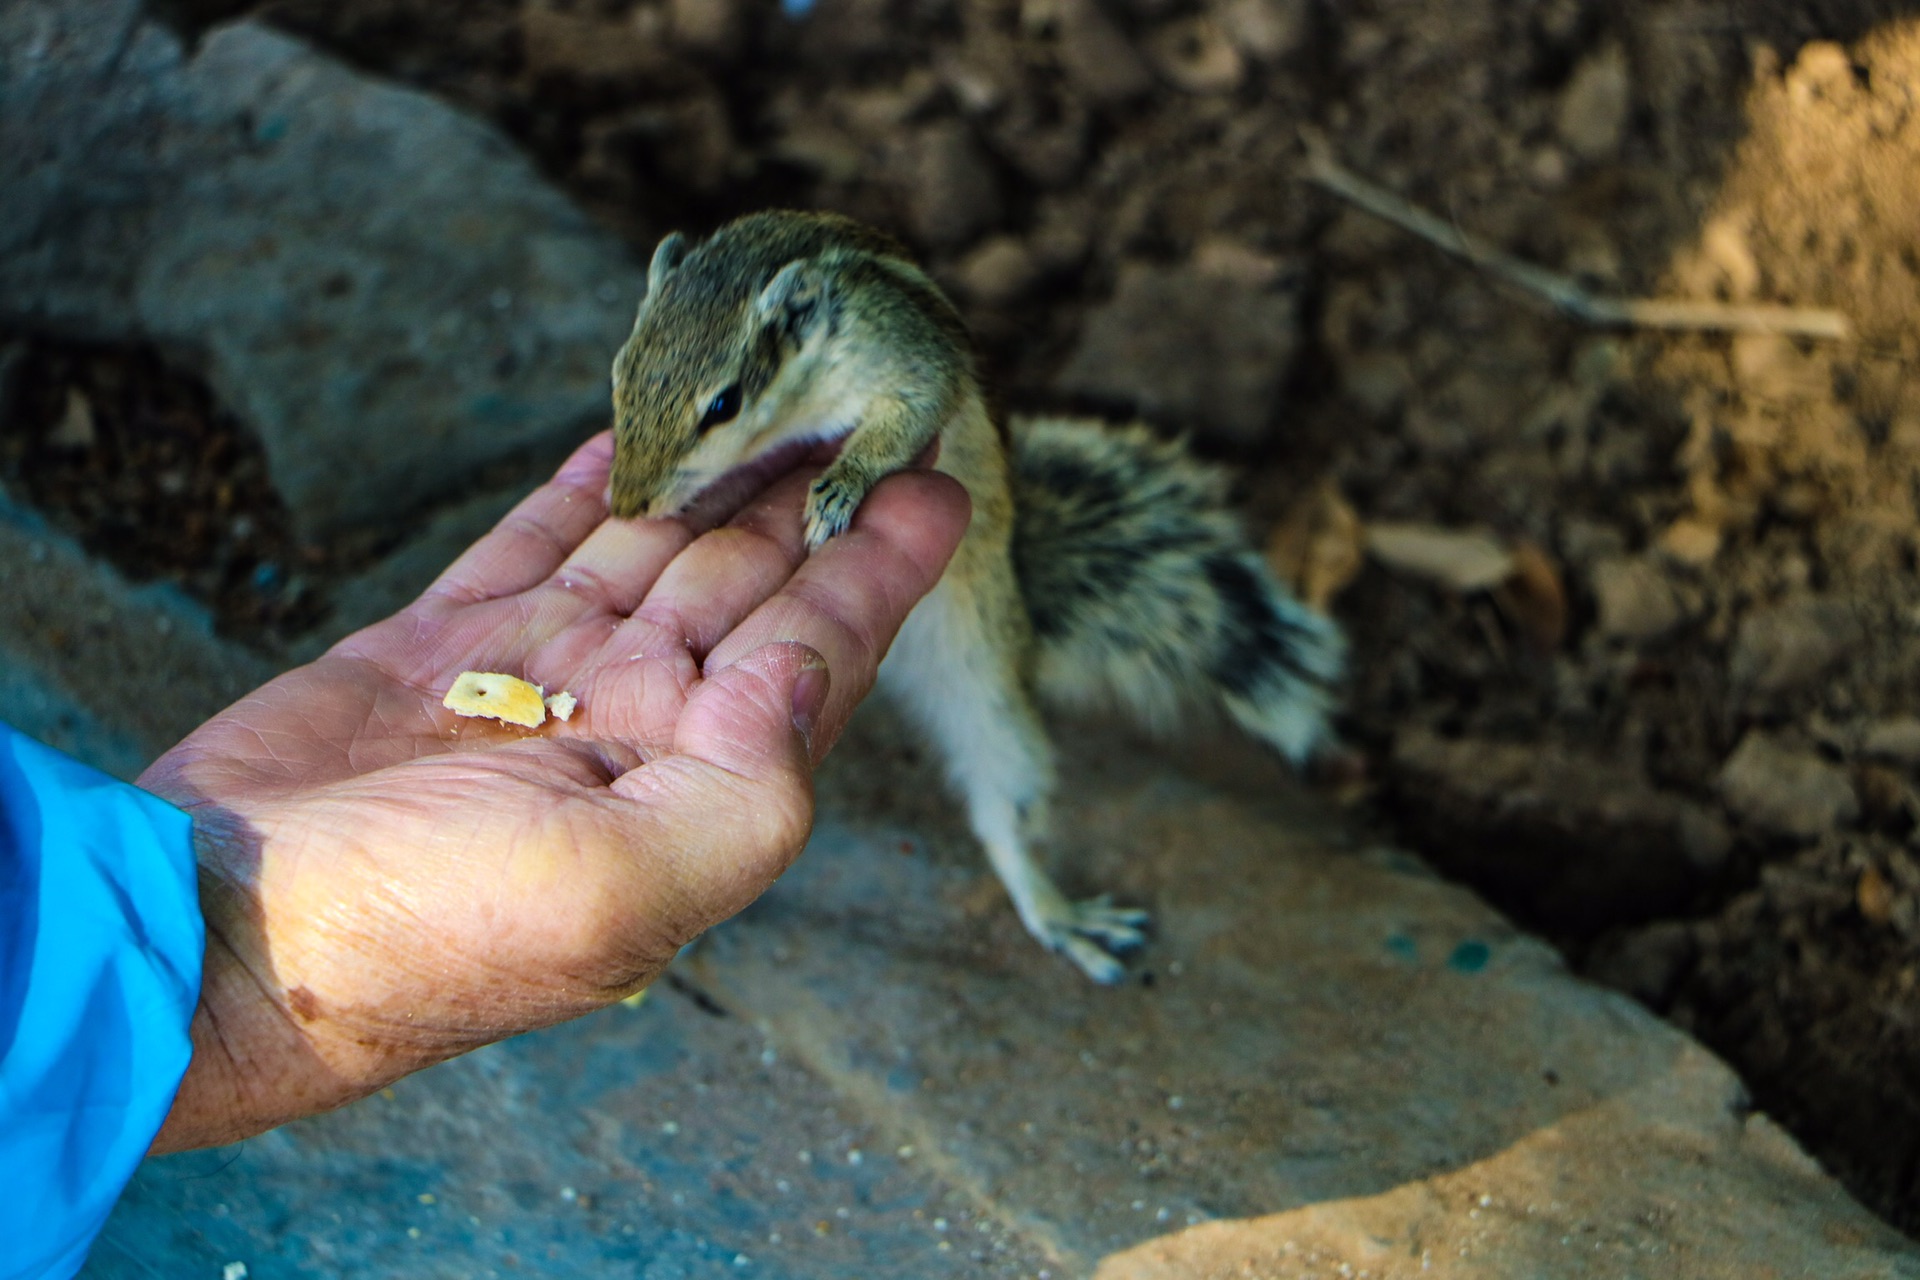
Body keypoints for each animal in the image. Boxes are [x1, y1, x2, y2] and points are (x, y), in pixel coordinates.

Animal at [606, 210, 1344, 990]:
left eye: (725, 404)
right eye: (620, 371)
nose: (625, 506)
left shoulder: (902, 353)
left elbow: (911, 411)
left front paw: (840, 485)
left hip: (988, 688)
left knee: (1005, 813)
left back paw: (1058, 913)